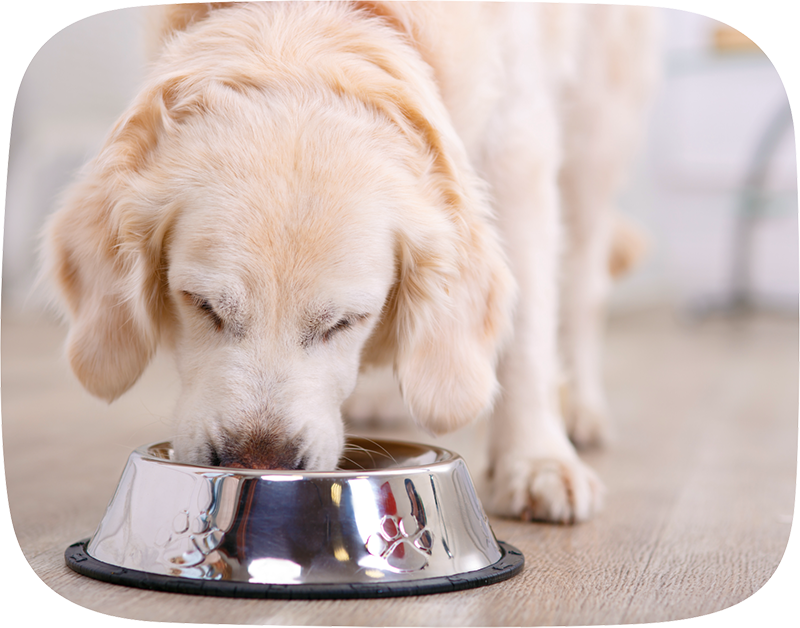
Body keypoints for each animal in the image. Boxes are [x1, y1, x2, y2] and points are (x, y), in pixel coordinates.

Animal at [43, 0, 656, 524]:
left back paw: (580, 409)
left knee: (583, 284)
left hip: (597, 128)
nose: (259, 465)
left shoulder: (518, 144)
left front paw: (536, 461)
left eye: (346, 322)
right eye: (202, 306)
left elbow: (527, 329)